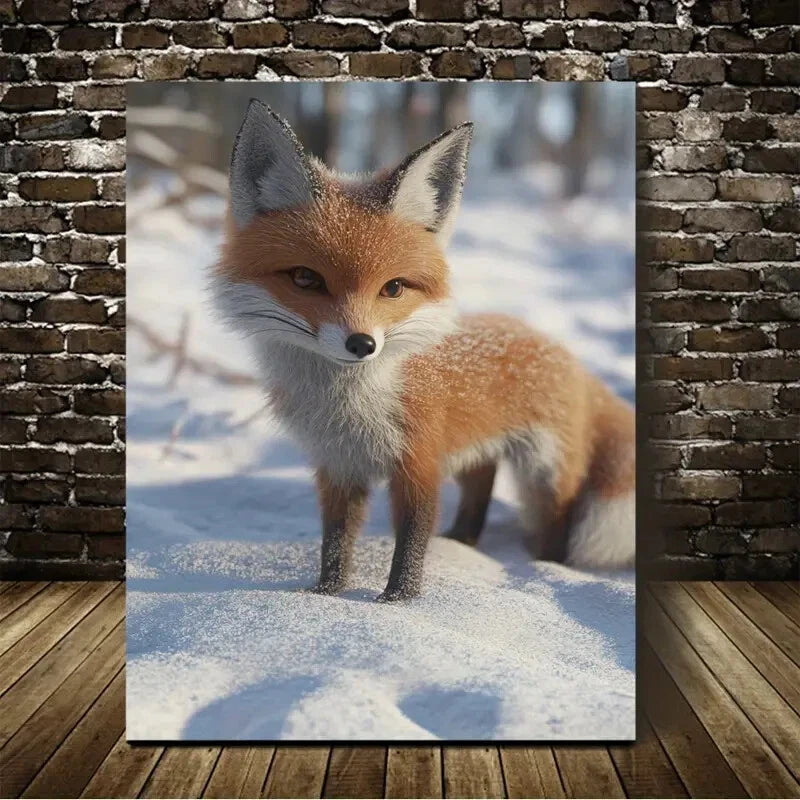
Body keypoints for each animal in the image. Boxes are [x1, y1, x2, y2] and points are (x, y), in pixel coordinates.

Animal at [211, 99, 635, 602]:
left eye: (393, 287)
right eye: (305, 279)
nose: (362, 344)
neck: (349, 409)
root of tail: (555, 347)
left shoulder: (419, 461)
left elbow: (412, 539)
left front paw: (399, 601)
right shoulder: (337, 466)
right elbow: (336, 538)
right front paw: (325, 595)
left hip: (546, 471)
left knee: (555, 518)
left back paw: (547, 566)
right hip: (481, 452)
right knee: (480, 487)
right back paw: (464, 541)